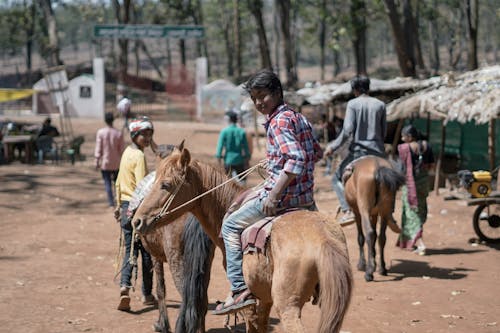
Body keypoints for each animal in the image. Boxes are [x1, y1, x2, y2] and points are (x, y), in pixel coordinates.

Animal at [132, 145, 352, 332]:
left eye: (166, 184)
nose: (137, 221)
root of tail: (324, 239)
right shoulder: (264, 297)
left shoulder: (251, 302)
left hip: (288, 306)